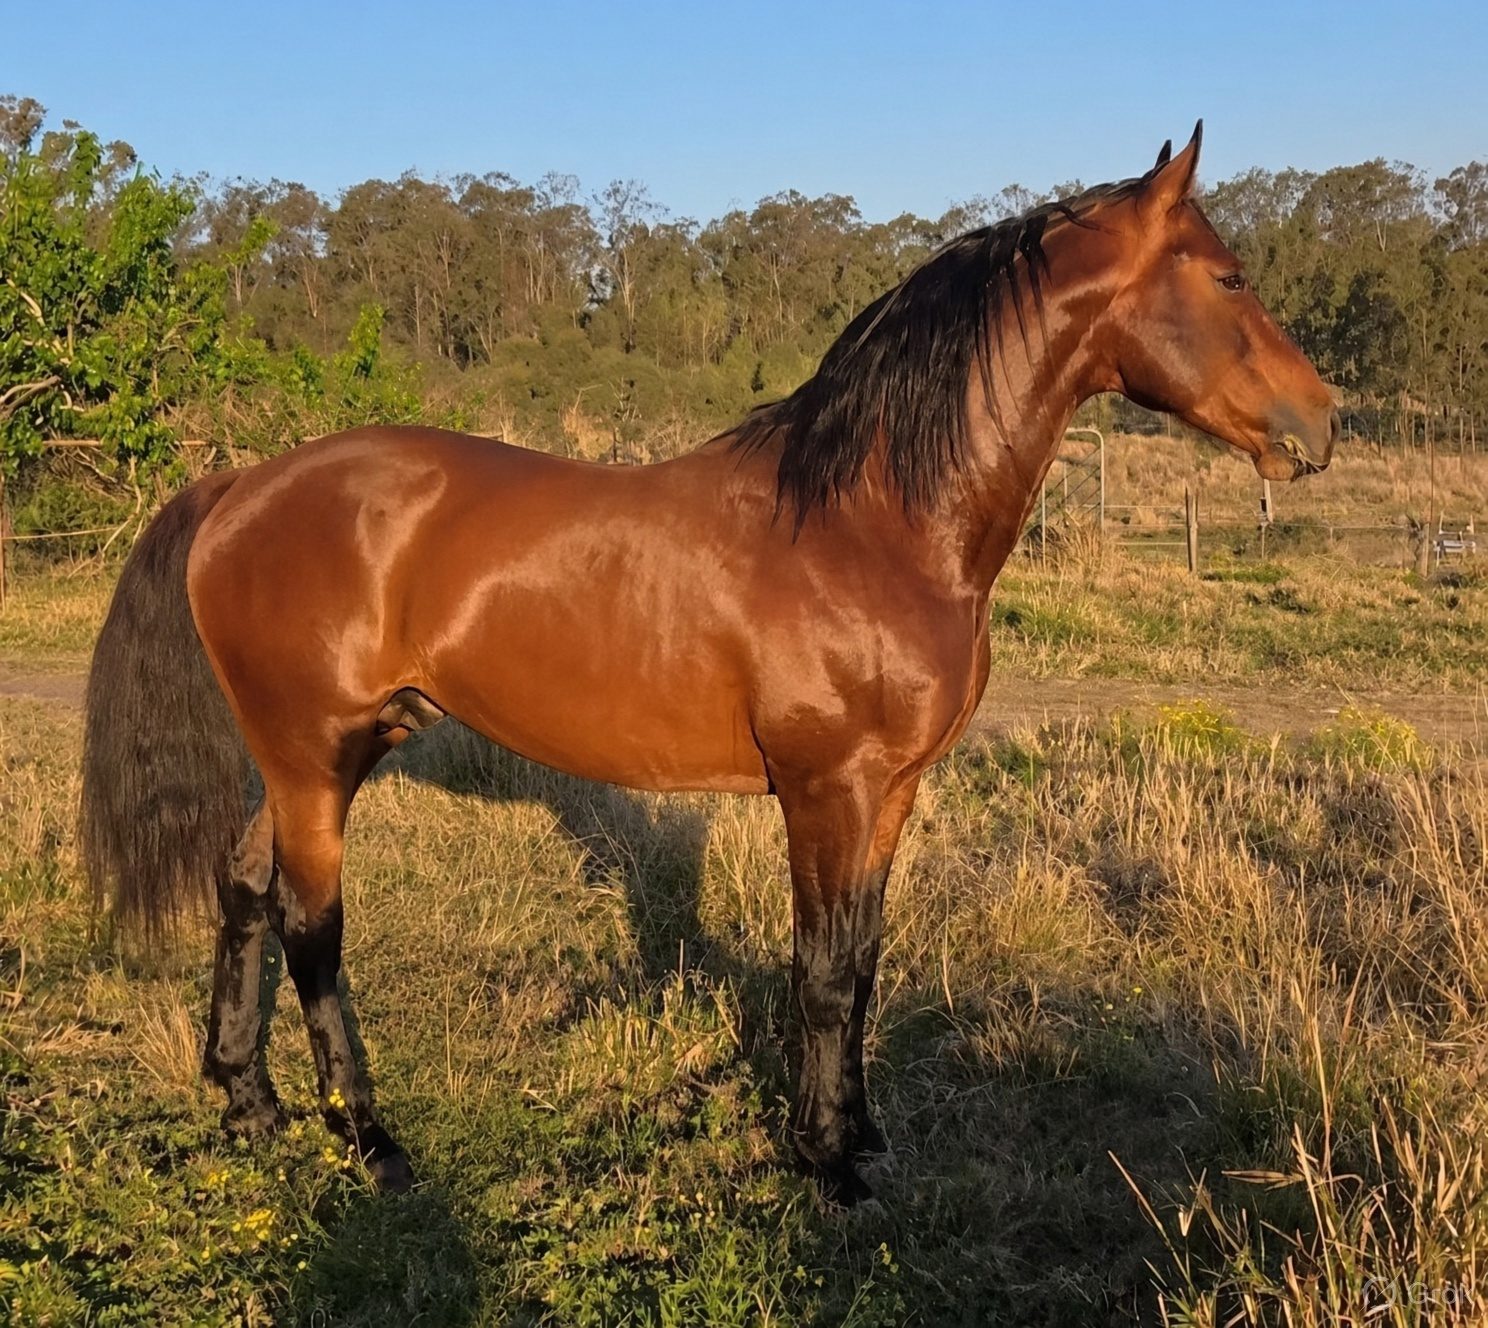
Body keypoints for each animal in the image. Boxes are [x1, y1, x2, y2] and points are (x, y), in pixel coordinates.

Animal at [80, 123, 1337, 1205]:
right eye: (1228, 277)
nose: (1325, 423)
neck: (870, 523)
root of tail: (239, 485)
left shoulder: (891, 791)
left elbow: (863, 961)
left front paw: (864, 1132)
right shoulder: (825, 790)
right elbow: (820, 971)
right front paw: (825, 1162)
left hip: (309, 759)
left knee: (243, 889)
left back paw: (250, 1102)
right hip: (316, 760)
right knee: (311, 929)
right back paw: (373, 1140)